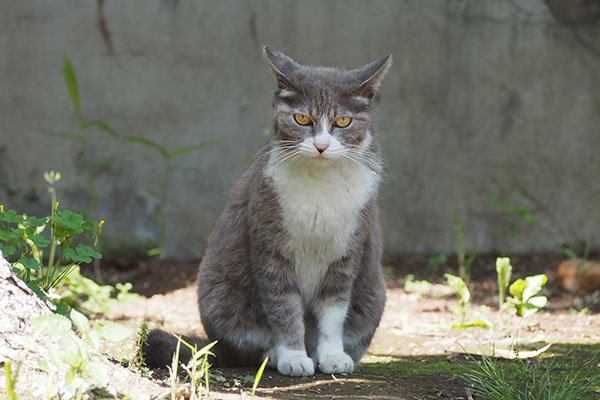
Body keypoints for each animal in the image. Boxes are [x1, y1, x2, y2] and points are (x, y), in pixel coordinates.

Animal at [145, 47, 390, 378]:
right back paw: (273, 355)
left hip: (374, 296)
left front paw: (332, 356)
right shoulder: (270, 244)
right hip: (220, 296)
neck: (320, 183)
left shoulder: (346, 251)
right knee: (245, 348)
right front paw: (293, 357)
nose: (322, 146)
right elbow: (283, 306)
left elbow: (334, 310)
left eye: (342, 121)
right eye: (301, 118)